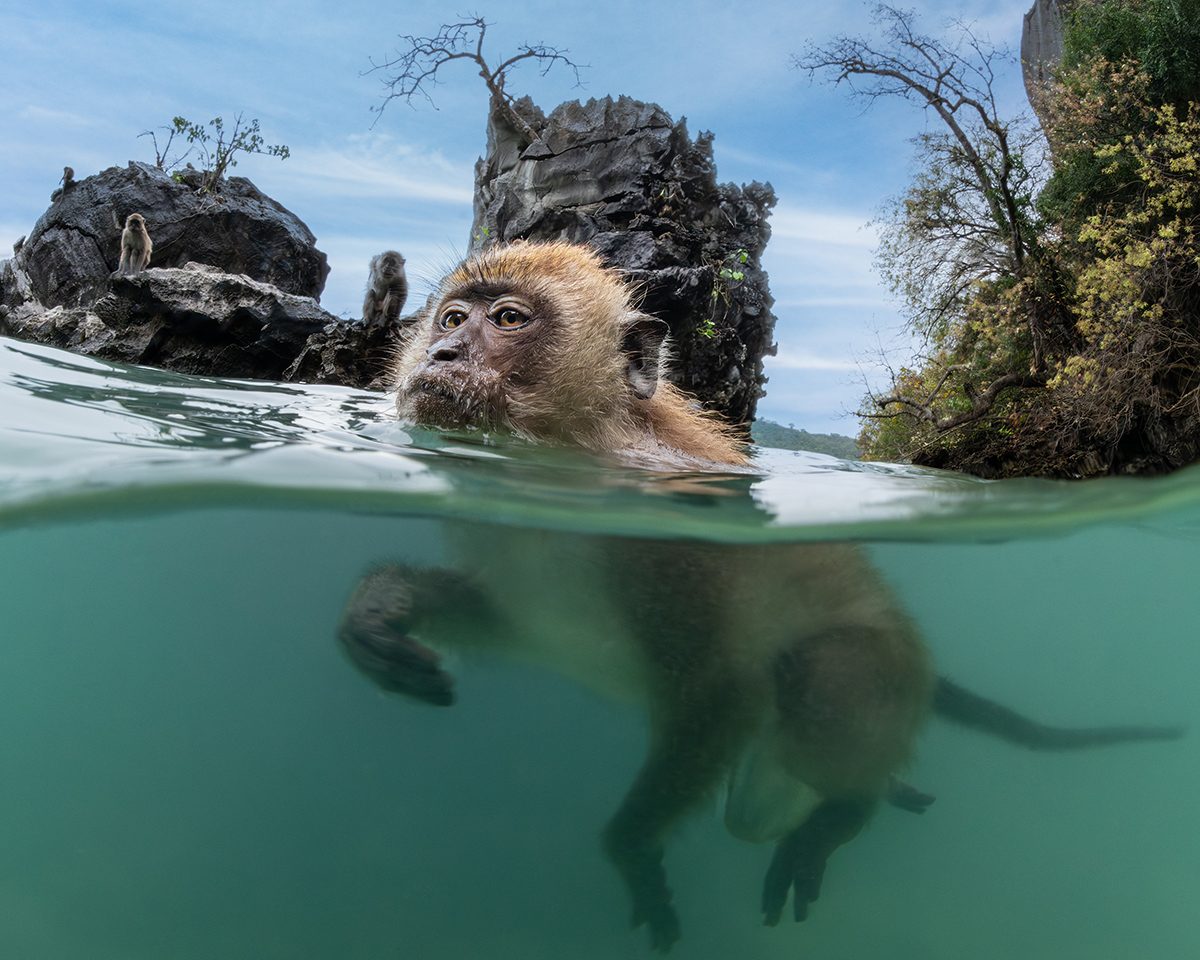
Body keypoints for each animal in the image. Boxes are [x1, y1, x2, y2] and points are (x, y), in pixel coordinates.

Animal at [341, 241, 1181, 951]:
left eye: (508, 319)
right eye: (453, 317)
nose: (443, 351)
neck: (584, 451)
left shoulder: (671, 563)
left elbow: (722, 690)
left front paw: (632, 851)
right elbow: (510, 620)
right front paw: (379, 613)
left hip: (879, 675)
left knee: (817, 678)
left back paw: (850, 809)